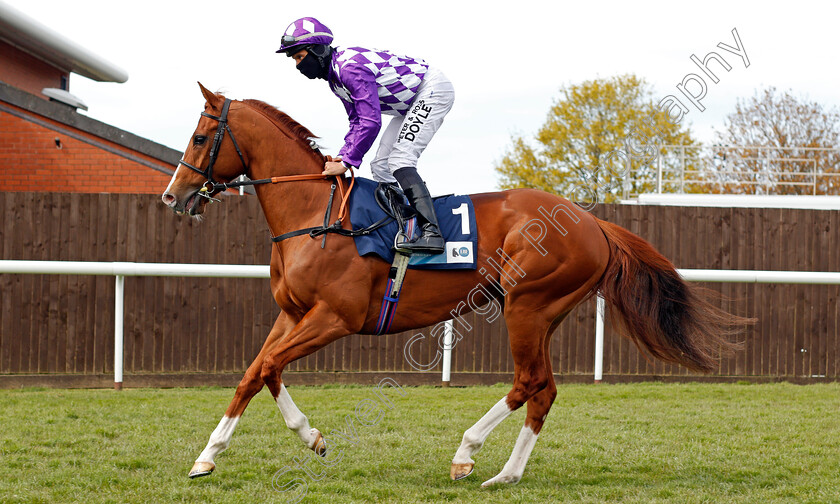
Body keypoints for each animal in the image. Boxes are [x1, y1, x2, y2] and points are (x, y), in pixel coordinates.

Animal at [161, 83, 744, 488]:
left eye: (199, 137)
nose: (174, 195)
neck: (315, 216)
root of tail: (591, 222)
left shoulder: (335, 317)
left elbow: (269, 368)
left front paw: (302, 439)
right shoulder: (292, 312)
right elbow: (256, 372)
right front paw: (212, 456)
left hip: (527, 305)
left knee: (529, 381)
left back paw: (467, 454)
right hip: (543, 311)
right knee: (545, 389)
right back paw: (506, 474)